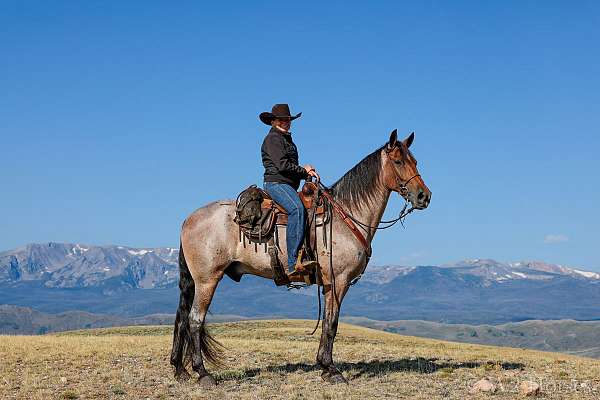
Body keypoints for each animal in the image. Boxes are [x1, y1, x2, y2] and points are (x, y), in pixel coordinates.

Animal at [169, 128, 432, 384]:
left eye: (415, 161)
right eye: (398, 161)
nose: (424, 196)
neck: (347, 215)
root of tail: (188, 219)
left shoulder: (329, 284)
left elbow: (327, 322)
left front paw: (324, 366)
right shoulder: (339, 280)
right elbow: (331, 323)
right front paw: (330, 369)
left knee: (181, 318)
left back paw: (180, 370)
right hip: (207, 280)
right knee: (194, 319)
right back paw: (203, 374)